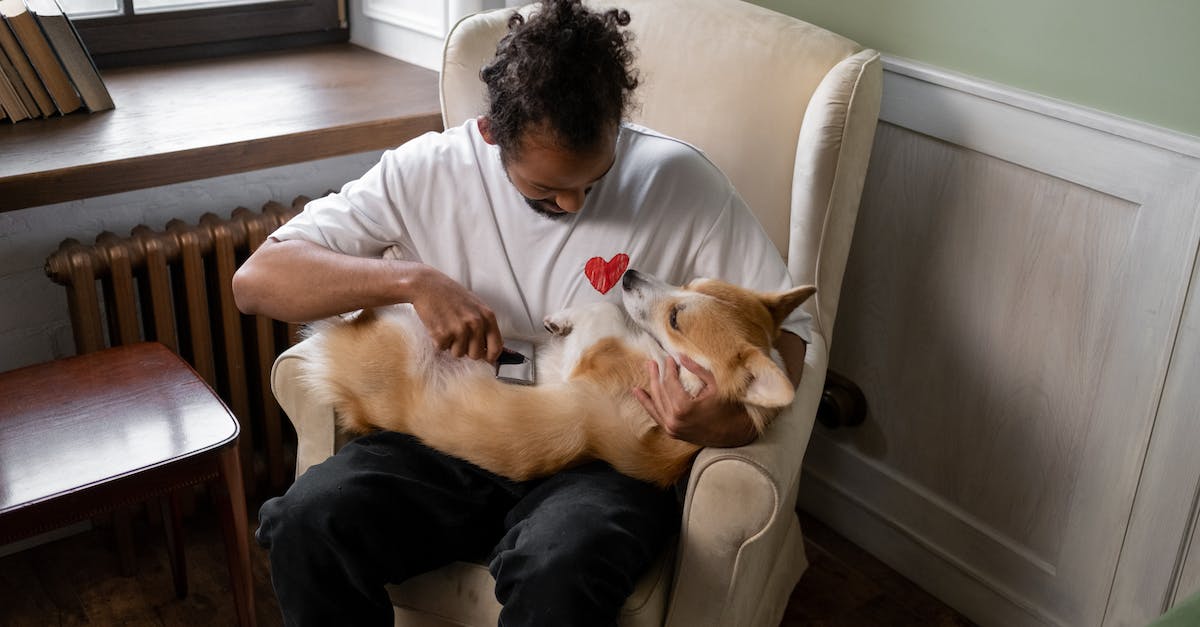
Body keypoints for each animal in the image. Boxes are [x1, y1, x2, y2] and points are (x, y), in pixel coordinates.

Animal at [297, 265, 816, 485]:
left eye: (675, 319)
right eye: (689, 283)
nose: (629, 275)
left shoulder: (592, 360)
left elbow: (606, 310)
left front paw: (563, 319)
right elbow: (603, 307)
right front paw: (561, 319)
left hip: (398, 332)